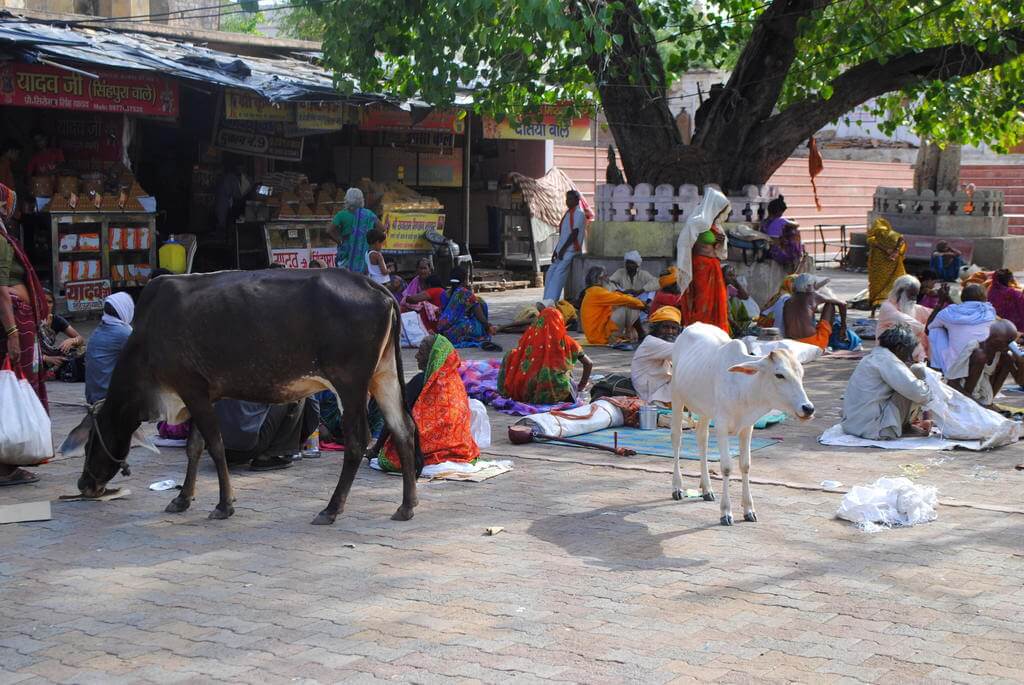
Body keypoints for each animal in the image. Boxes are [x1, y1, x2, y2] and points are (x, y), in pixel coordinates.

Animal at [58, 268, 419, 524]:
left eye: (90, 444)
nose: (83, 484)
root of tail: (375, 287)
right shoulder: (202, 394)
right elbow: (195, 448)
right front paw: (182, 499)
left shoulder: (192, 390)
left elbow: (215, 447)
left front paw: (223, 504)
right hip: (383, 376)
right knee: (402, 428)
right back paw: (406, 505)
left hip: (350, 384)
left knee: (358, 441)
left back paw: (331, 509)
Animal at [671, 323, 815, 528]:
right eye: (779, 375)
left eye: (801, 374)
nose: (808, 408)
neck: (744, 387)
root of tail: (693, 326)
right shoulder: (721, 426)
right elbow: (726, 467)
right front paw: (726, 512)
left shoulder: (747, 427)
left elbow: (745, 465)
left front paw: (748, 510)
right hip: (676, 397)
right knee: (677, 439)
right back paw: (677, 487)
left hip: (705, 410)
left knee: (702, 438)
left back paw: (707, 489)